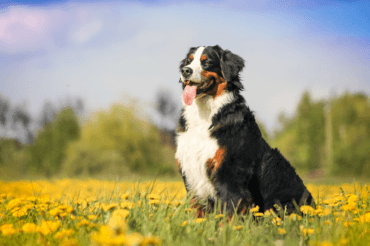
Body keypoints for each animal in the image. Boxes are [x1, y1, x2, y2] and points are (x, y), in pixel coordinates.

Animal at [175, 44, 314, 217]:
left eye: (206, 62)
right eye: (189, 61)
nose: (185, 71)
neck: (205, 115)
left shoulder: (229, 175)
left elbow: (229, 212)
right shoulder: (191, 173)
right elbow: (196, 211)